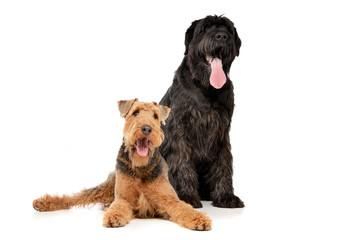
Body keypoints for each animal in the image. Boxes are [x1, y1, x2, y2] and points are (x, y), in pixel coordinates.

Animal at [33, 99, 211, 231]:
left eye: (155, 116)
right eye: (135, 112)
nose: (147, 128)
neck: (140, 168)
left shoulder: (169, 199)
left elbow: (184, 208)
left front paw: (200, 220)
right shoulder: (123, 198)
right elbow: (117, 207)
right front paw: (113, 217)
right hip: (106, 186)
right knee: (76, 197)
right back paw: (43, 203)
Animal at [160, 15, 245, 208]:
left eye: (228, 29)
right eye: (204, 28)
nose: (221, 36)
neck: (207, 89)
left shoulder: (222, 131)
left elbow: (224, 161)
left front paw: (225, 195)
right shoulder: (180, 130)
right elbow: (182, 162)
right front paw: (186, 195)